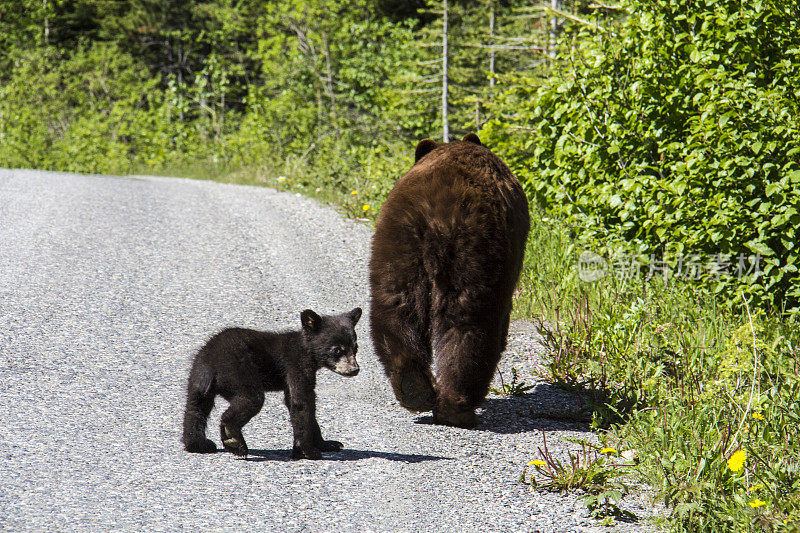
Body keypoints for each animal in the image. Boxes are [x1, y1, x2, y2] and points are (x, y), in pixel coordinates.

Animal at [368, 134, 532, 428]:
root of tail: (438, 218)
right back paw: (458, 407)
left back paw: (414, 390)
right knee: (469, 321)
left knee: (396, 307)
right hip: (476, 252)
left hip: (399, 242)